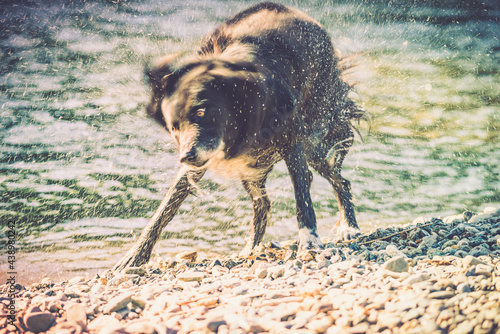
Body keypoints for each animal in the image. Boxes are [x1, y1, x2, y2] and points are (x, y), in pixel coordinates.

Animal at [113, 1, 364, 270]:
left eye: (201, 112)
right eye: (174, 127)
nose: (186, 156)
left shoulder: (292, 141)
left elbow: (302, 197)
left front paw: (309, 241)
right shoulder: (199, 162)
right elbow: (165, 208)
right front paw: (135, 256)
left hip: (313, 143)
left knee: (339, 181)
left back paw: (349, 227)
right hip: (251, 168)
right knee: (263, 204)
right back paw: (250, 248)